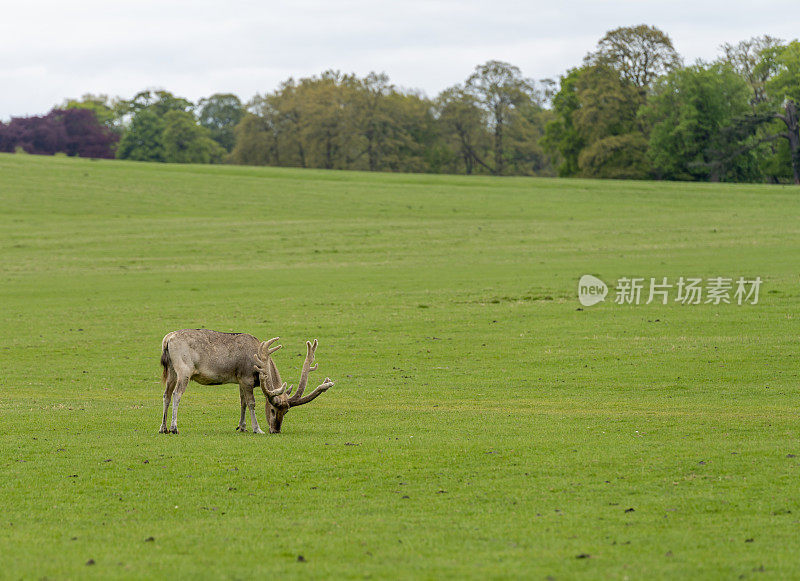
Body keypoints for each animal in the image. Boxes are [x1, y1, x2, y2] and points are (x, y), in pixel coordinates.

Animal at [159, 328, 334, 432]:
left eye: (286, 411)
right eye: (272, 409)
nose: (275, 430)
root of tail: (167, 339)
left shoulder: (240, 380)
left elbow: (242, 402)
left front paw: (242, 427)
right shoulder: (246, 377)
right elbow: (251, 403)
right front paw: (257, 428)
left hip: (171, 371)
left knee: (166, 395)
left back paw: (163, 428)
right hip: (184, 369)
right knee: (176, 394)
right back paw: (174, 427)